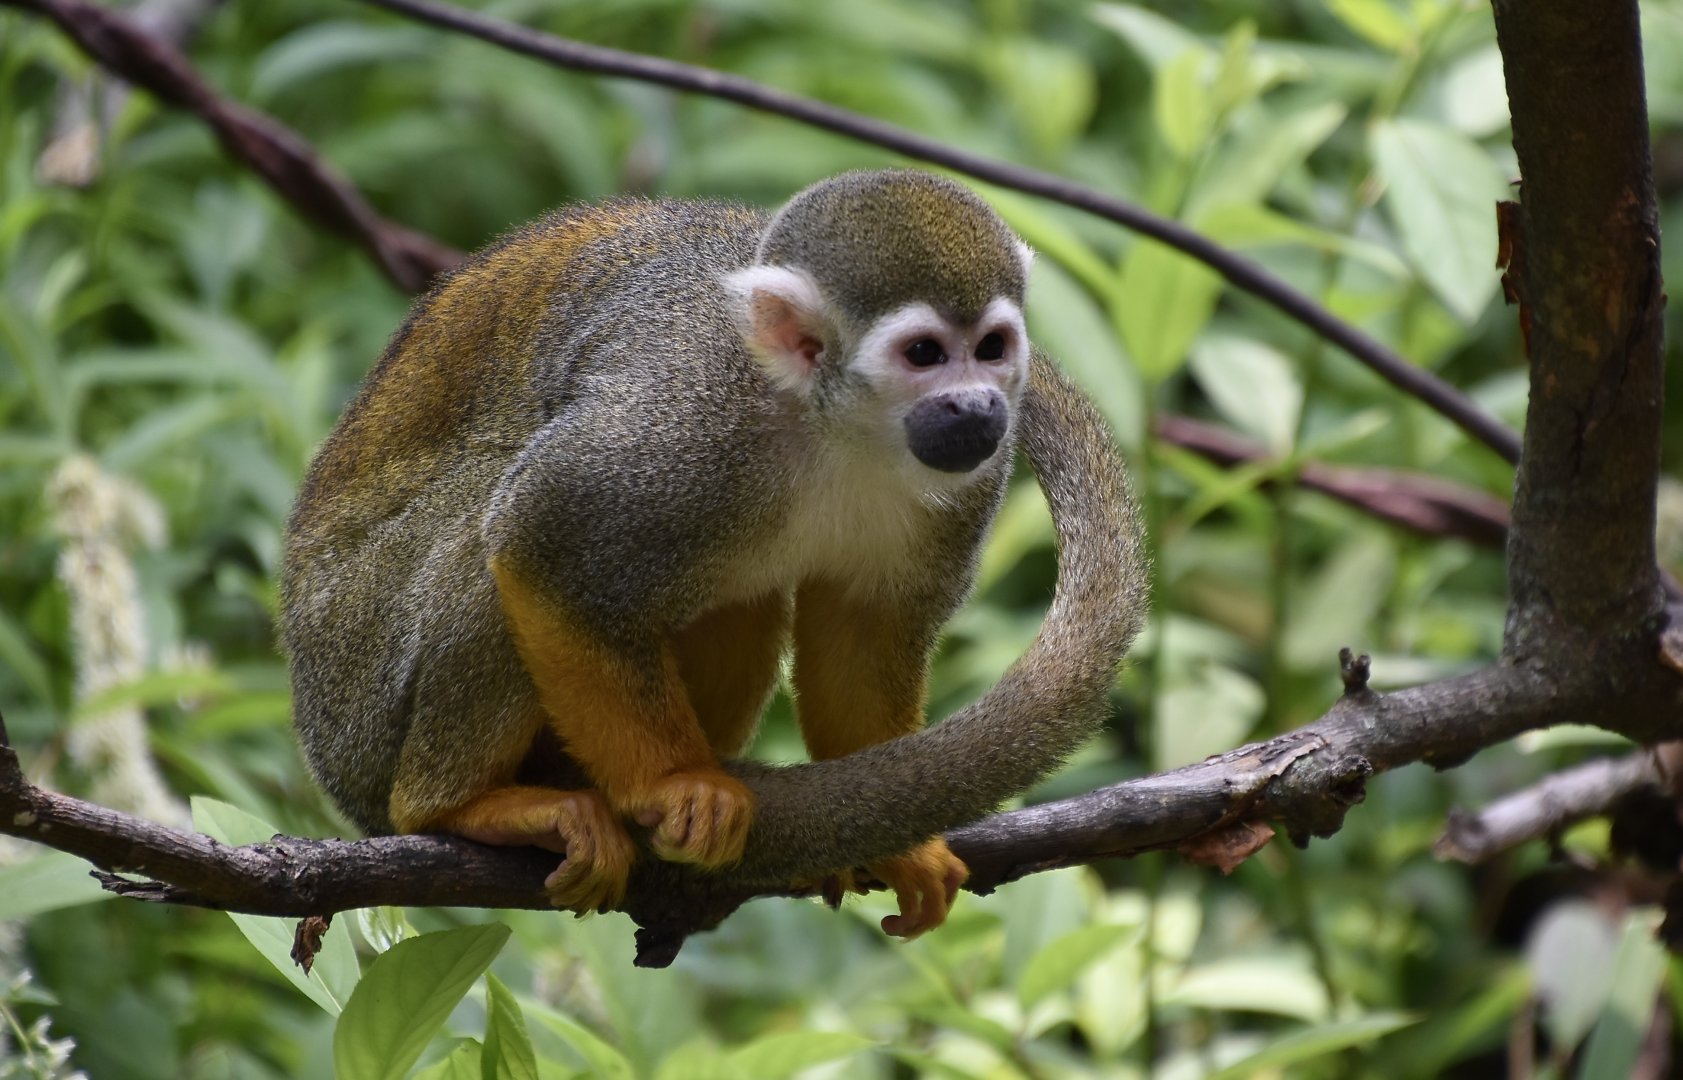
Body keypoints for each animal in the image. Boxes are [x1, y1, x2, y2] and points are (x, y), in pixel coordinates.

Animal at [283, 168, 1147, 938]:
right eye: (925, 354)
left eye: (992, 347)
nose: (978, 405)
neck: (830, 424)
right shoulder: (682, 428)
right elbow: (541, 539)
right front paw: (674, 785)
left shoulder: (974, 476)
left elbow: (865, 632)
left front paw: (901, 839)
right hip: (358, 681)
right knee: (494, 513)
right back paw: (458, 806)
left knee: (738, 598)